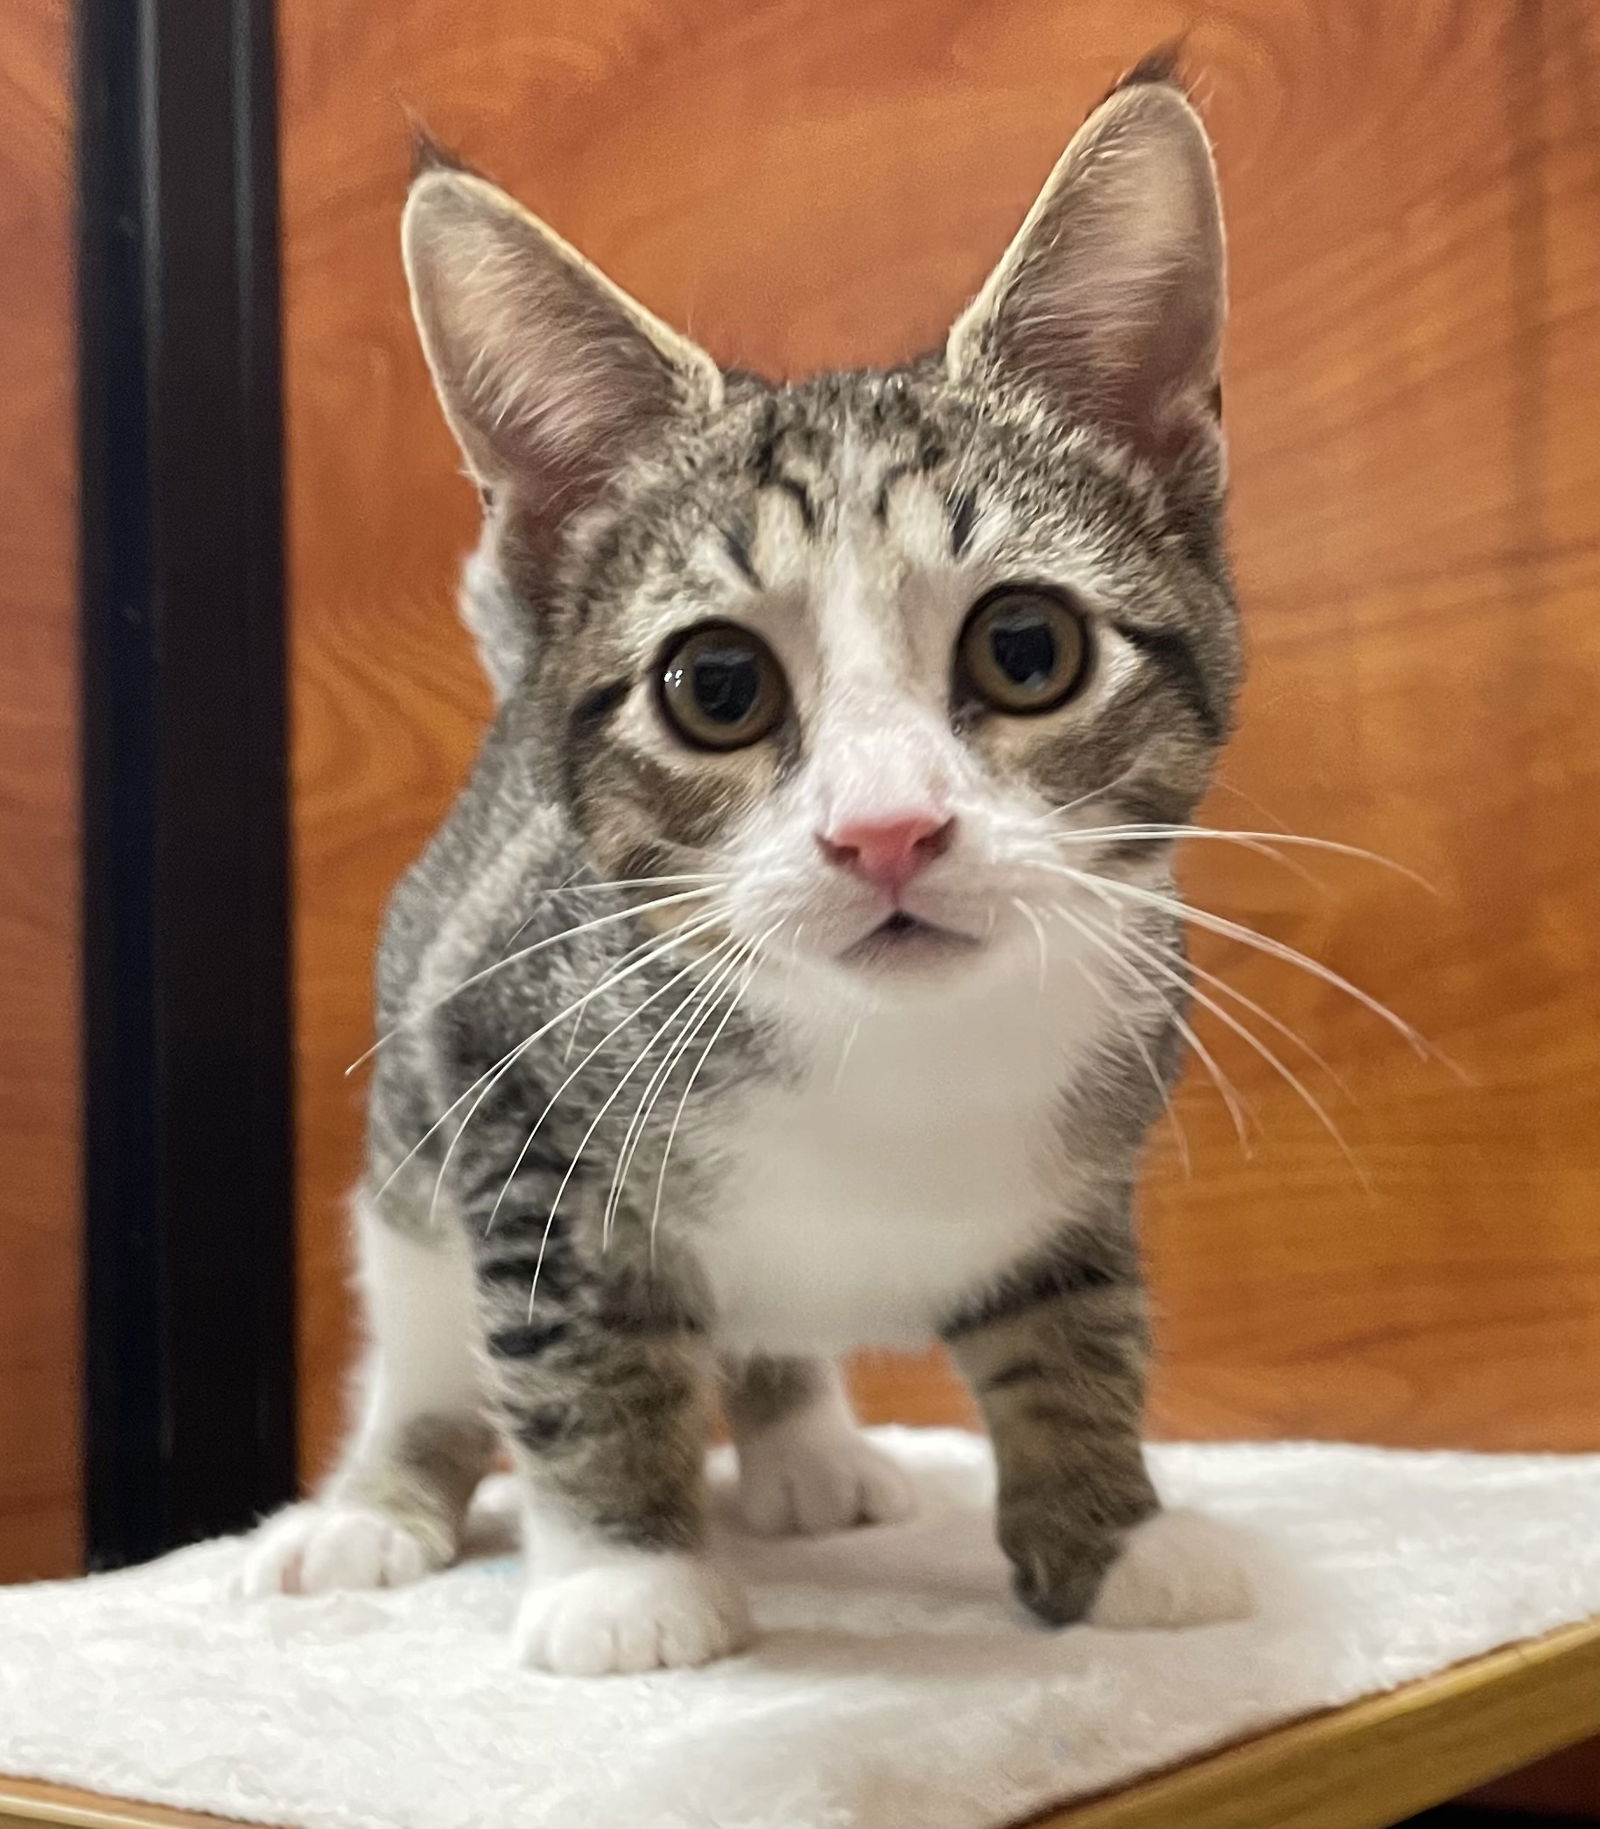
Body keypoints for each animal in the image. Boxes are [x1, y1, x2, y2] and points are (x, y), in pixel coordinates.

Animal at [246, 53, 1250, 1675]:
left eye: (1027, 649)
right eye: (715, 686)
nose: (887, 827)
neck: (890, 1059)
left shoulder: (1090, 1158)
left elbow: (1074, 1321)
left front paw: (1110, 1530)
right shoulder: (505, 1081)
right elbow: (571, 1348)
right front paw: (624, 1574)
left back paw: (805, 1444)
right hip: (410, 1127)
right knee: (427, 1331)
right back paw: (380, 1499)